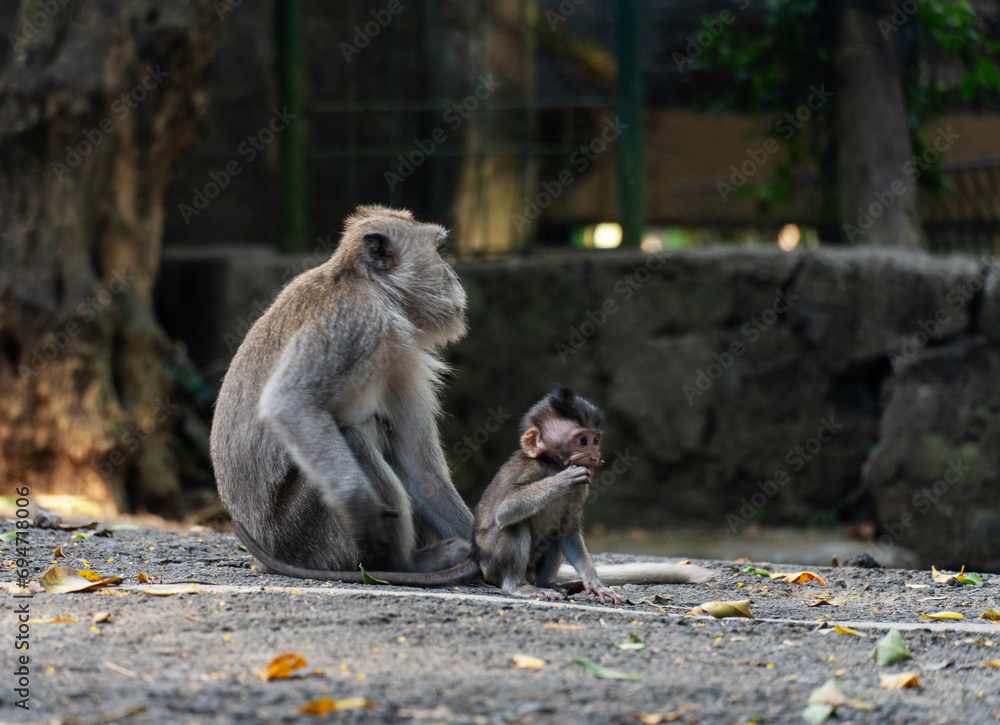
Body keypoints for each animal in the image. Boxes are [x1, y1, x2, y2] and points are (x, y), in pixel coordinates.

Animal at [210, 205, 477, 583]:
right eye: (439, 251)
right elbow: (289, 404)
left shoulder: (400, 360)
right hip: (305, 537)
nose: (453, 276)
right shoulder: (356, 322)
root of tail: (264, 559)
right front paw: (360, 506)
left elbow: (420, 469)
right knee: (353, 435)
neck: (369, 286)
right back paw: (406, 564)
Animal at [230, 385, 711, 599]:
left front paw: (594, 583)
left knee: (553, 540)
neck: (549, 462)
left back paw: (553, 583)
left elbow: (571, 532)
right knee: (513, 532)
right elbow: (505, 512)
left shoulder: (583, 493)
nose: (594, 454)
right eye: (580, 440)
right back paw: (518, 587)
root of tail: (482, 563)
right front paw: (557, 482)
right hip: (495, 560)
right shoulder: (530, 468)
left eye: (594, 438)